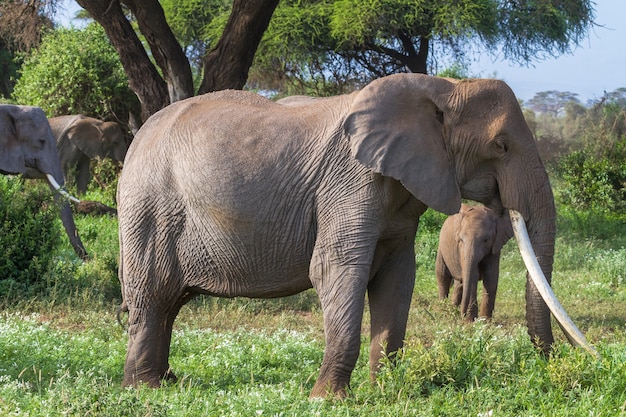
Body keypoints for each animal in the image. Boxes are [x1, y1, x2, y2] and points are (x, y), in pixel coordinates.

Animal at [117, 74, 588, 396]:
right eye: (501, 146)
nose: (550, 362)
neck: (442, 88)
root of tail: (138, 136)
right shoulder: (351, 183)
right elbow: (335, 269)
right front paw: (328, 398)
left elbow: (397, 277)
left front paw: (384, 391)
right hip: (147, 209)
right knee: (153, 297)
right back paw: (145, 388)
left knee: (168, 304)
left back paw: (166, 381)